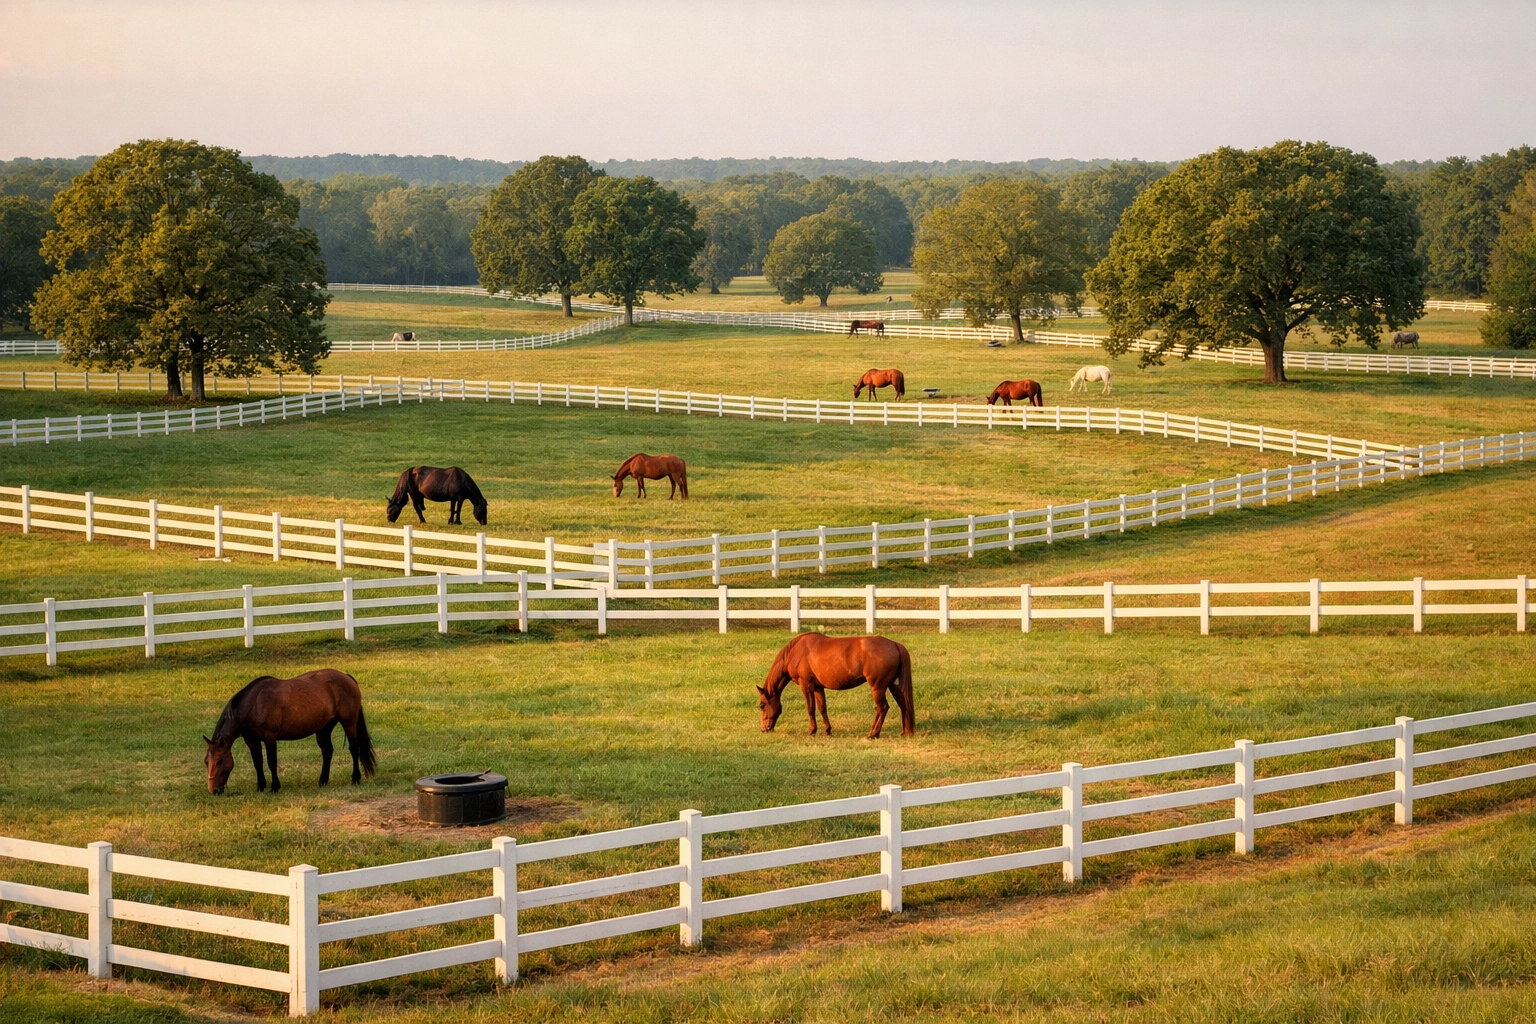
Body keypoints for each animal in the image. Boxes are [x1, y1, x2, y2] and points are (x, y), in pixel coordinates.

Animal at [203, 669, 376, 794]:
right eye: (206, 761)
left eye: (219, 761)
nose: (214, 791)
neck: (254, 705)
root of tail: (346, 676)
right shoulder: (251, 741)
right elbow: (258, 763)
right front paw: (260, 786)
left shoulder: (270, 738)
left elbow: (271, 762)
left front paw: (274, 787)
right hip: (323, 728)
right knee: (327, 751)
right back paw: (323, 781)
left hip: (349, 722)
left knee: (354, 749)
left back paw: (355, 778)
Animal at [757, 633, 915, 739]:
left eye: (762, 705)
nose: (764, 729)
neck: (796, 651)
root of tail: (894, 644)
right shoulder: (817, 687)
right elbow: (822, 708)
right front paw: (827, 730)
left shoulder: (806, 685)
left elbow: (810, 709)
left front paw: (812, 731)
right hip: (893, 685)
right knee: (903, 704)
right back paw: (905, 732)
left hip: (878, 688)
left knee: (882, 708)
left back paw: (873, 734)